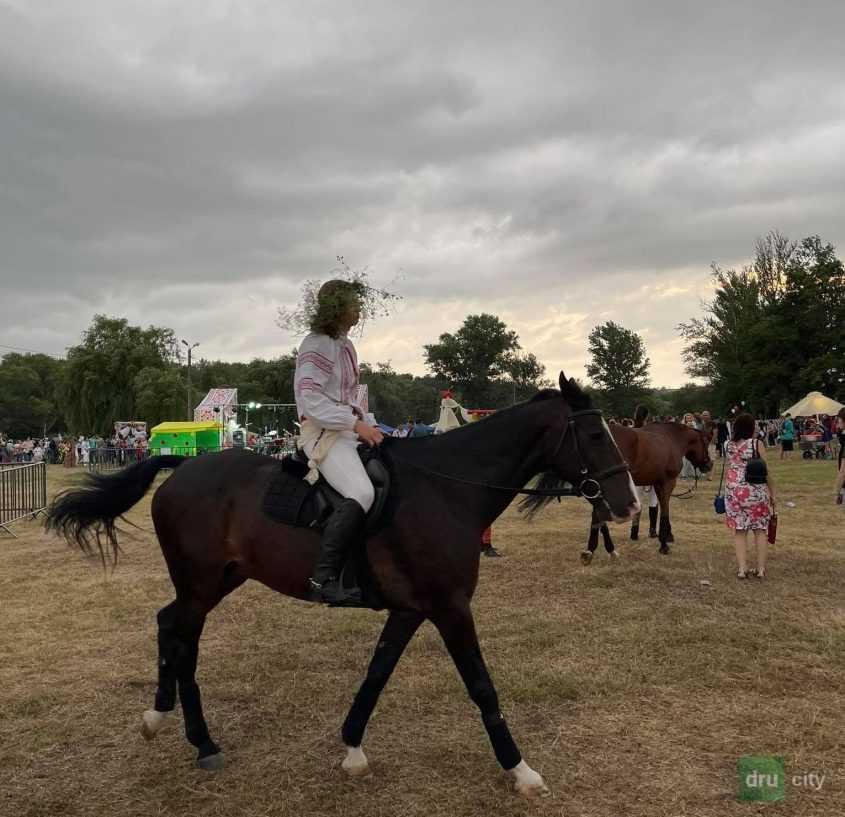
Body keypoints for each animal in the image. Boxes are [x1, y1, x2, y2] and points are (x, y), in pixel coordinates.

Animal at [46, 372, 636, 800]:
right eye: (592, 434)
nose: (628, 503)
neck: (447, 490)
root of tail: (182, 467)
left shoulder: (410, 610)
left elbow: (376, 675)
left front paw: (352, 748)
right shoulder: (450, 607)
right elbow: (481, 686)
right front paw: (521, 769)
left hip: (216, 581)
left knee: (169, 624)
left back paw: (162, 718)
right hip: (200, 583)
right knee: (183, 638)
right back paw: (200, 739)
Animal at [580, 420, 712, 560]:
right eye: (706, 443)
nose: (709, 465)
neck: (672, 438)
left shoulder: (656, 483)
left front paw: (667, 536)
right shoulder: (668, 482)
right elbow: (665, 510)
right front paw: (664, 545)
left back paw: (595, 549)